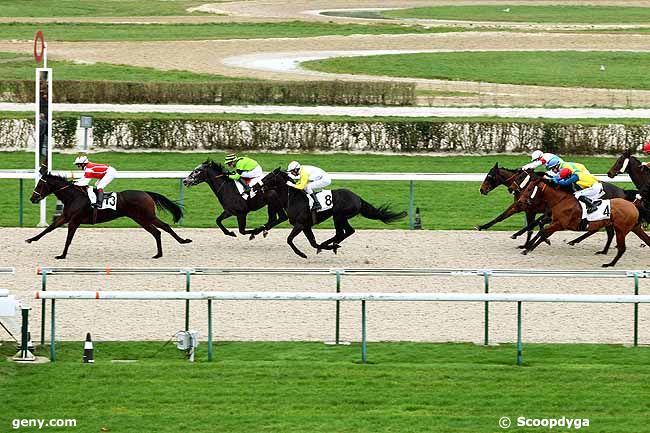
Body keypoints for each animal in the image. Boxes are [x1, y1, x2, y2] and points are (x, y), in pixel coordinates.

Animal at [28, 166, 190, 258]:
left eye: (40, 185)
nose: (32, 198)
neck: (74, 197)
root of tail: (146, 193)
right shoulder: (65, 217)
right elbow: (49, 228)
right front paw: (31, 239)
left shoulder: (74, 220)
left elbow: (68, 238)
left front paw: (62, 255)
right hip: (140, 219)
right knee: (156, 232)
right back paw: (158, 254)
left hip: (147, 216)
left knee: (164, 227)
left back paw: (183, 241)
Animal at [254, 168, 402, 256]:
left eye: (268, 177)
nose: (255, 186)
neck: (293, 198)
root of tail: (358, 198)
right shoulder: (306, 226)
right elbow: (312, 243)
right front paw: (318, 248)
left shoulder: (300, 224)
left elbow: (289, 239)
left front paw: (302, 254)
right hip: (341, 217)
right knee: (347, 232)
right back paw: (331, 245)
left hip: (338, 216)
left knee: (343, 232)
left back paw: (332, 245)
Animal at [512, 176, 648, 266]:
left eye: (529, 189)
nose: (520, 201)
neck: (561, 200)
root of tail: (633, 205)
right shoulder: (553, 220)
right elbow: (542, 229)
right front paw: (532, 245)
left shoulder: (559, 224)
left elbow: (543, 231)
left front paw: (528, 249)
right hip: (623, 226)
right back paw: (603, 252)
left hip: (621, 229)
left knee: (621, 247)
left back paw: (609, 264)